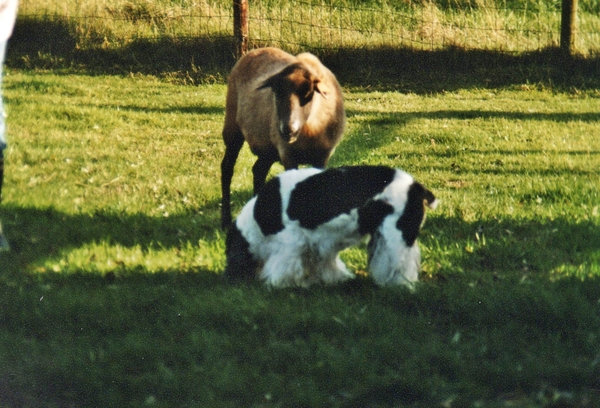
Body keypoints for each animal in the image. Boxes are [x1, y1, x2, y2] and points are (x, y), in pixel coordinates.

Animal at [220, 47, 344, 230]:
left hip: (268, 148)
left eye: (308, 93)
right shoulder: (287, 154)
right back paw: (225, 220)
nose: (287, 129)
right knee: (227, 167)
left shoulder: (322, 157)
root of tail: (254, 51)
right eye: (276, 93)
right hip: (233, 129)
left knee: (258, 170)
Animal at [223, 165, 438, 286]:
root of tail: (416, 187)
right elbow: (325, 264)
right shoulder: (320, 245)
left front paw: (278, 283)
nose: (227, 278)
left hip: (396, 234)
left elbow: (284, 265)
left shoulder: (291, 242)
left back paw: (400, 285)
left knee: (402, 265)